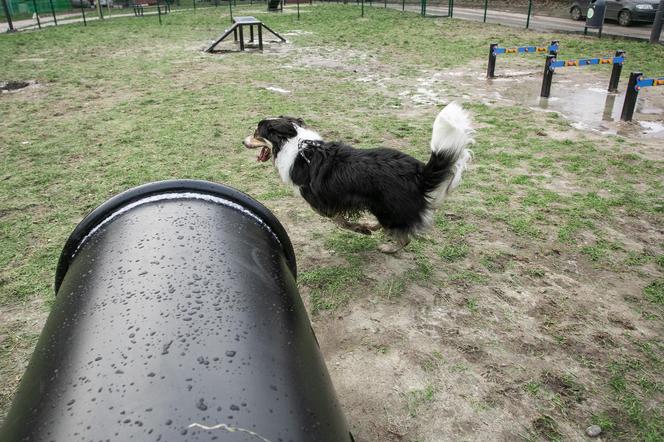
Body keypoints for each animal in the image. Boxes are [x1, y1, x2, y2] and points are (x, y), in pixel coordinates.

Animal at [243, 102, 472, 252]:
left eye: (256, 133)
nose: (242, 141)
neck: (295, 146)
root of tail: (419, 173)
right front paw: (364, 228)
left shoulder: (323, 204)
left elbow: (340, 222)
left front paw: (359, 229)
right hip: (382, 207)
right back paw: (375, 227)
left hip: (385, 207)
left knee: (403, 235)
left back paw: (388, 247)